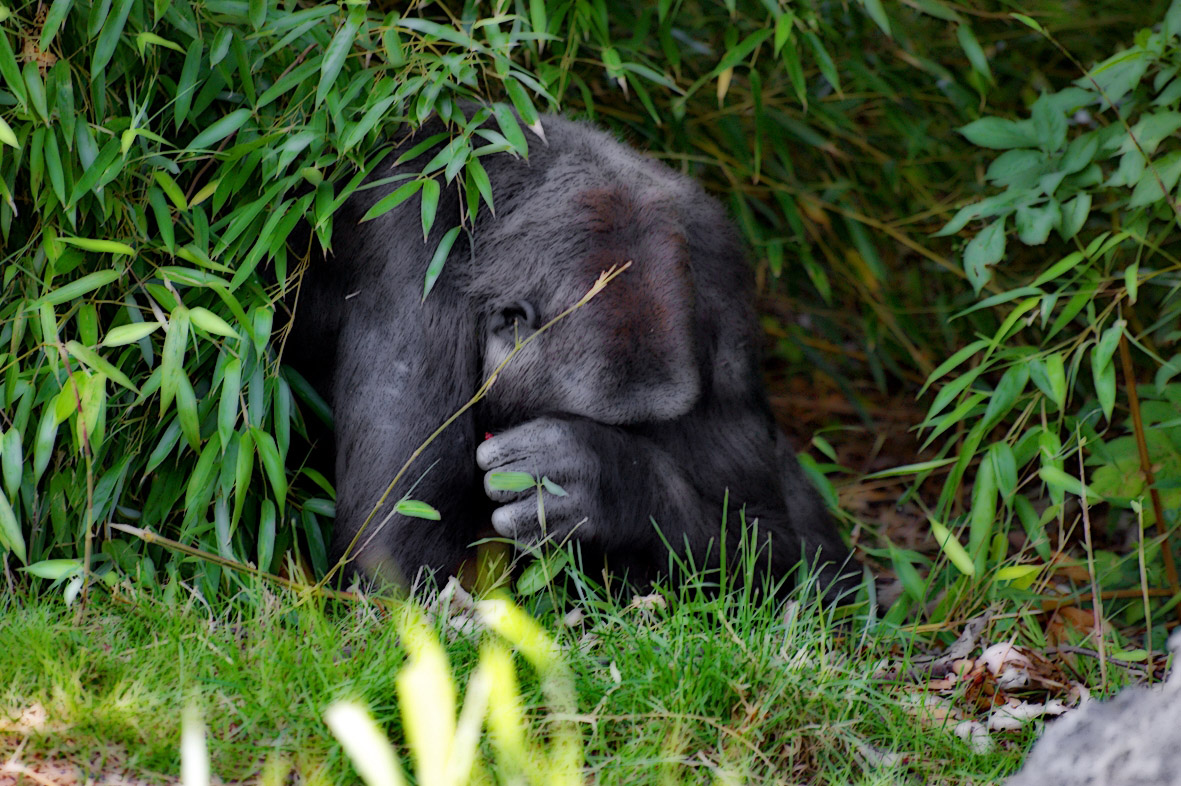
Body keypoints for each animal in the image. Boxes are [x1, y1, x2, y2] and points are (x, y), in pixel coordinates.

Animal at [288, 107, 859, 597]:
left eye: (640, 433)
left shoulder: (722, 270)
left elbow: (773, 535)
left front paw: (608, 480)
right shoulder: (408, 238)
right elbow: (398, 550)